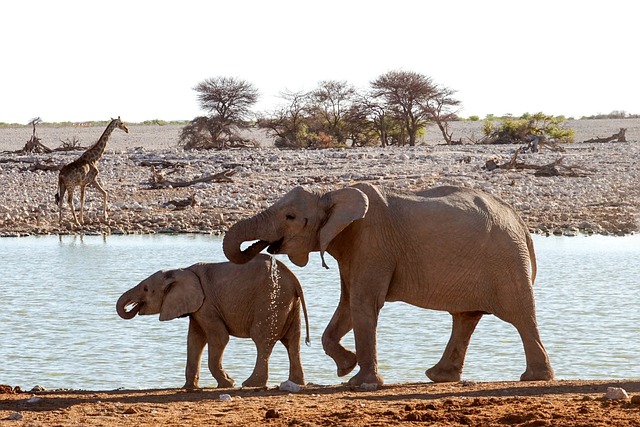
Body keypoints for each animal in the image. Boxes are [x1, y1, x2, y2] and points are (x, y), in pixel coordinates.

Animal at [119, 254, 312, 392]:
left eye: (146, 289)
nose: (132, 306)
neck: (182, 270)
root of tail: (294, 278)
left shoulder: (207, 305)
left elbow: (219, 338)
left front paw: (228, 383)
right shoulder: (197, 308)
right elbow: (194, 340)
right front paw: (189, 388)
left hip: (270, 300)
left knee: (262, 339)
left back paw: (250, 384)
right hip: (288, 303)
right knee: (292, 341)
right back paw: (297, 382)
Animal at [225, 182, 556, 390]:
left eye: (291, 217)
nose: (262, 248)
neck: (331, 194)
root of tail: (521, 223)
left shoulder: (372, 243)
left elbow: (364, 302)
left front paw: (360, 383)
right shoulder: (353, 248)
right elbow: (348, 304)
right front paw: (347, 367)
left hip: (506, 260)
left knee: (520, 314)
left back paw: (534, 377)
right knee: (465, 317)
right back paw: (438, 376)